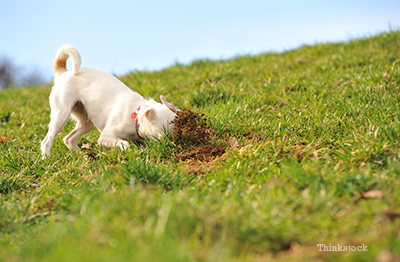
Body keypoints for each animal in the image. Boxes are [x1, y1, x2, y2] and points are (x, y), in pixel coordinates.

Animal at [40, 44, 177, 157]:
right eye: (164, 135)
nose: (175, 144)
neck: (136, 118)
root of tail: (63, 73)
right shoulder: (105, 137)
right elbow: (124, 143)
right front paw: (128, 149)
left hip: (86, 120)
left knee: (69, 139)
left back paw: (81, 156)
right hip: (61, 114)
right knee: (47, 140)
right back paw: (47, 158)